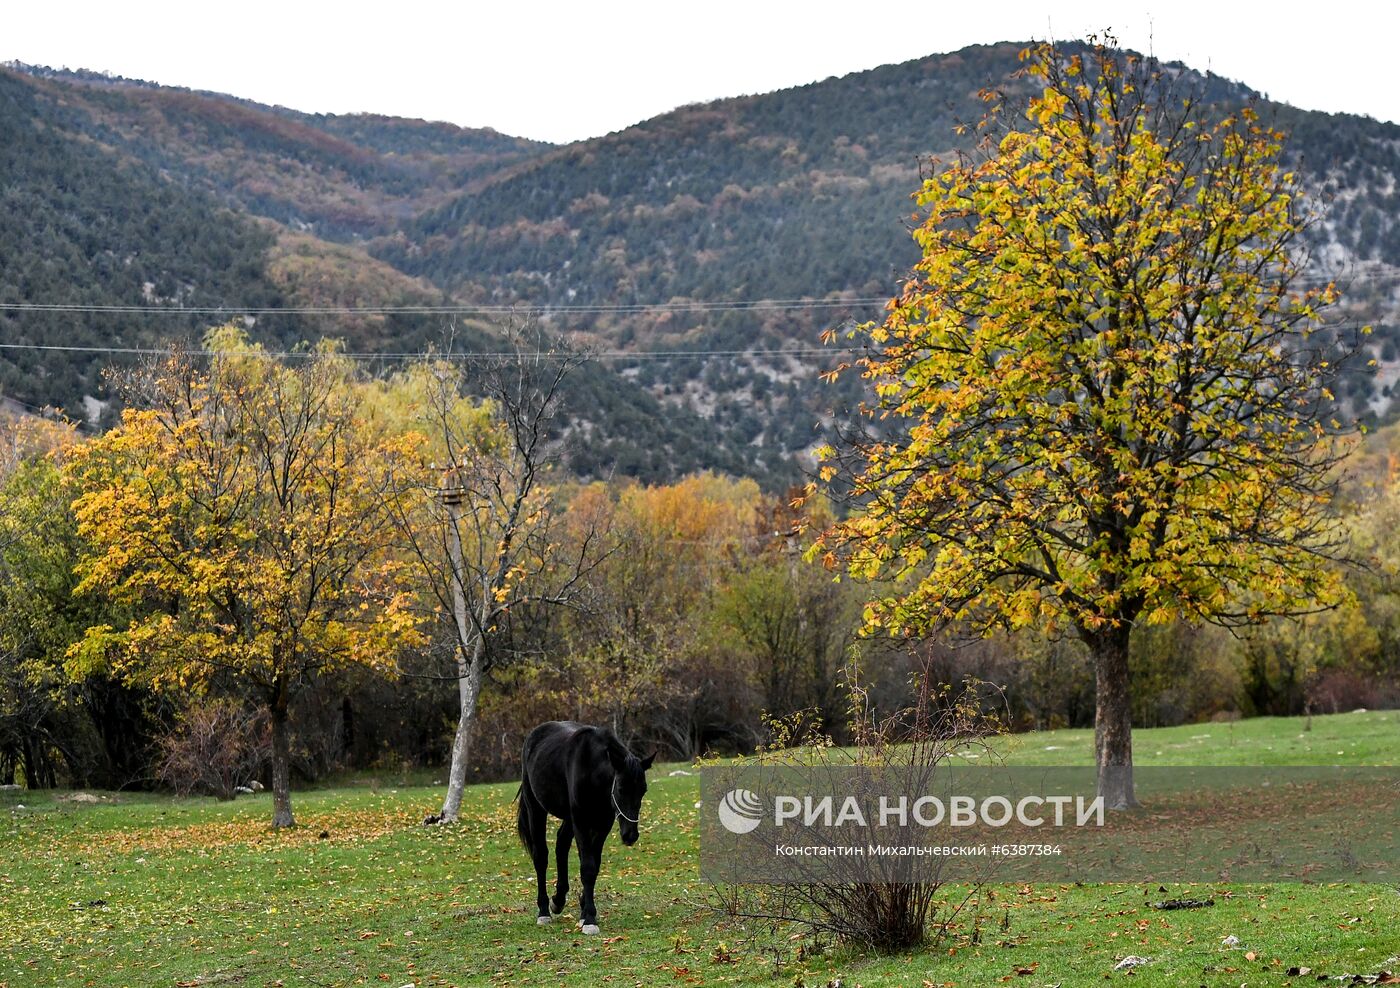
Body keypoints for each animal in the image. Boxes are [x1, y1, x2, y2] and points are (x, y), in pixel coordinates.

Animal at [516, 720, 655, 934]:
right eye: (621, 788)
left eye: (643, 790)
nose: (630, 835)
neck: (591, 769)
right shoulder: (581, 821)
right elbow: (587, 867)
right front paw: (589, 918)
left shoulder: (603, 824)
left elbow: (593, 865)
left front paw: (584, 910)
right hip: (536, 809)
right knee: (541, 857)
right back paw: (544, 911)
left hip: (568, 817)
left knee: (561, 845)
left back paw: (558, 900)